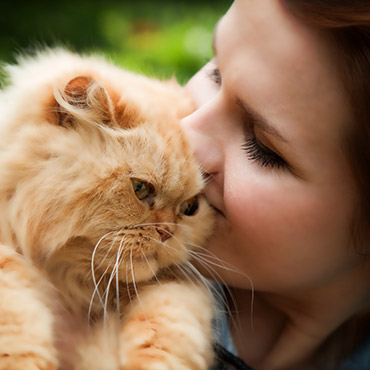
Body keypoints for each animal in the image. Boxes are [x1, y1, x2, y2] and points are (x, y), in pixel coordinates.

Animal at [0, 49, 217, 370]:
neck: (75, 283)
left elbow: (164, 330)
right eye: (140, 189)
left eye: (190, 207)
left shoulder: (176, 285)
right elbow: (17, 321)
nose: (166, 233)